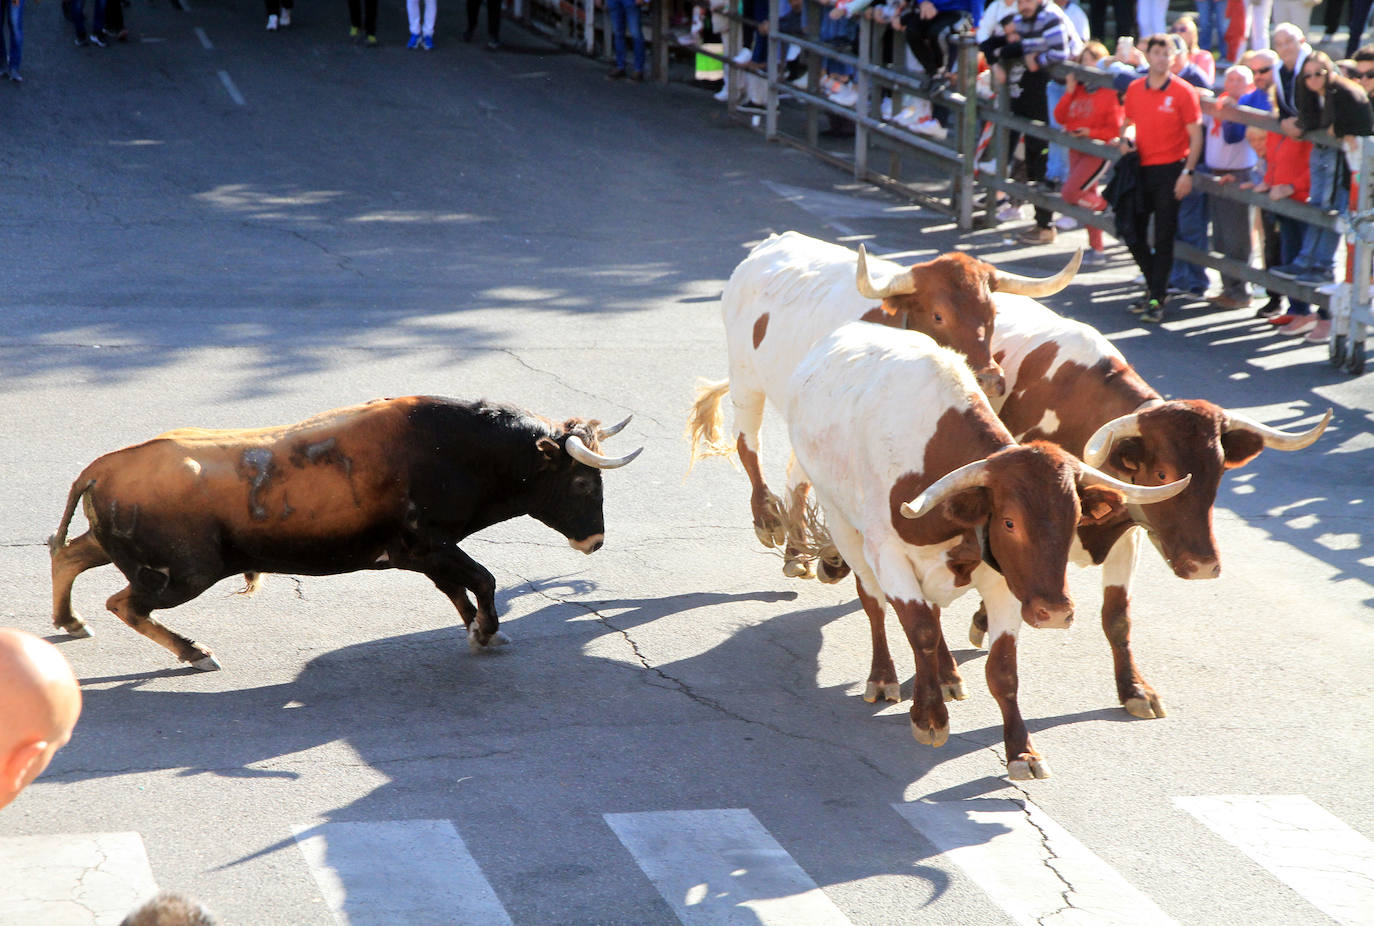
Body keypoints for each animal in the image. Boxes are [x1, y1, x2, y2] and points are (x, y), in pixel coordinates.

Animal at [47, 392, 637, 667]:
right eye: (582, 483)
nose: (595, 541)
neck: (457, 449)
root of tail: (100, 469)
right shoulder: (431, 544)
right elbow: (482, 580)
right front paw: (487, 631)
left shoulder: (423, 554)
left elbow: (459, 589)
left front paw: (479, 629)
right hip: (181, 575)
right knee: (124, 603)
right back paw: (194, 653)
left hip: (127, 550)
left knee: (67, 554)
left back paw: (70, 621)